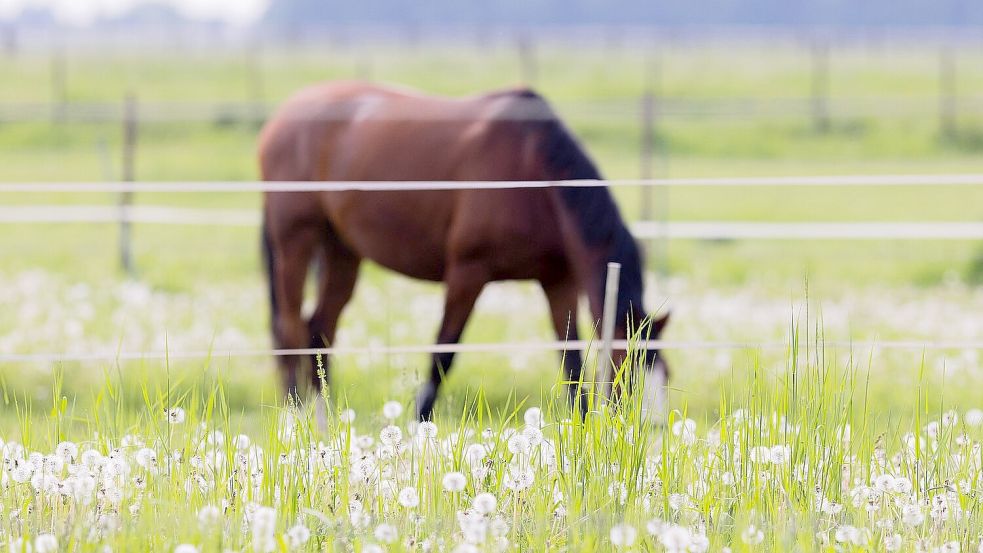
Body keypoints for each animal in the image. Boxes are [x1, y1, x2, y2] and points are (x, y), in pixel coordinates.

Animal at [258, 81, 669, 420]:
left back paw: (322, 417)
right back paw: (296, 412)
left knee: (319, 330)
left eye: (665, 374)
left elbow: (571, 361)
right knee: (290, 327)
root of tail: (282, 116)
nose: (649, 430)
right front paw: (420, 423)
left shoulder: (558, 282)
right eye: (628, 373)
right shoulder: (467, 274)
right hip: (295, 240)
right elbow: (444, 354)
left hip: (341, 251)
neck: (532, 173)